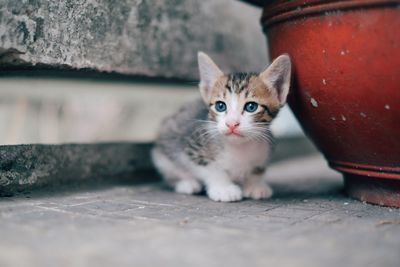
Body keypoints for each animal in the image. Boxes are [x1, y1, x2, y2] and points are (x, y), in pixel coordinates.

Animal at [152, 52, 292, 202]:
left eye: (251, 107)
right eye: (220, 106)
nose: (231, 123)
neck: (239, 147)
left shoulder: (266, 147)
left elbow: (257, 170)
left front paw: (255, 185)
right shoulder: (193, 147)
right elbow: (211, 169)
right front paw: (223, 188)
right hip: (163, 149)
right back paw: (187, 183)